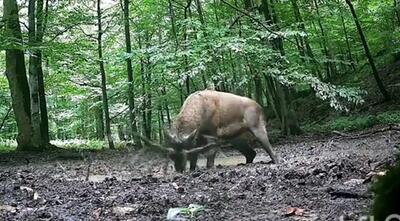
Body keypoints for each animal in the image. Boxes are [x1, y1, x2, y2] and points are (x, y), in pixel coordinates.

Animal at [139, 89, 280, 172]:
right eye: (171, 155)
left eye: (185, 155)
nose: (179, 170)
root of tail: (260, 107)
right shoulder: (196, 138)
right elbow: (195, 155)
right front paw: (192, 169)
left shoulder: (212, 133)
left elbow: (210, 154)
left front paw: (209, 168)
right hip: (236, 138)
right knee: (251, 153)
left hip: (257, 126)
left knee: (269, 148)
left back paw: (275, 162)